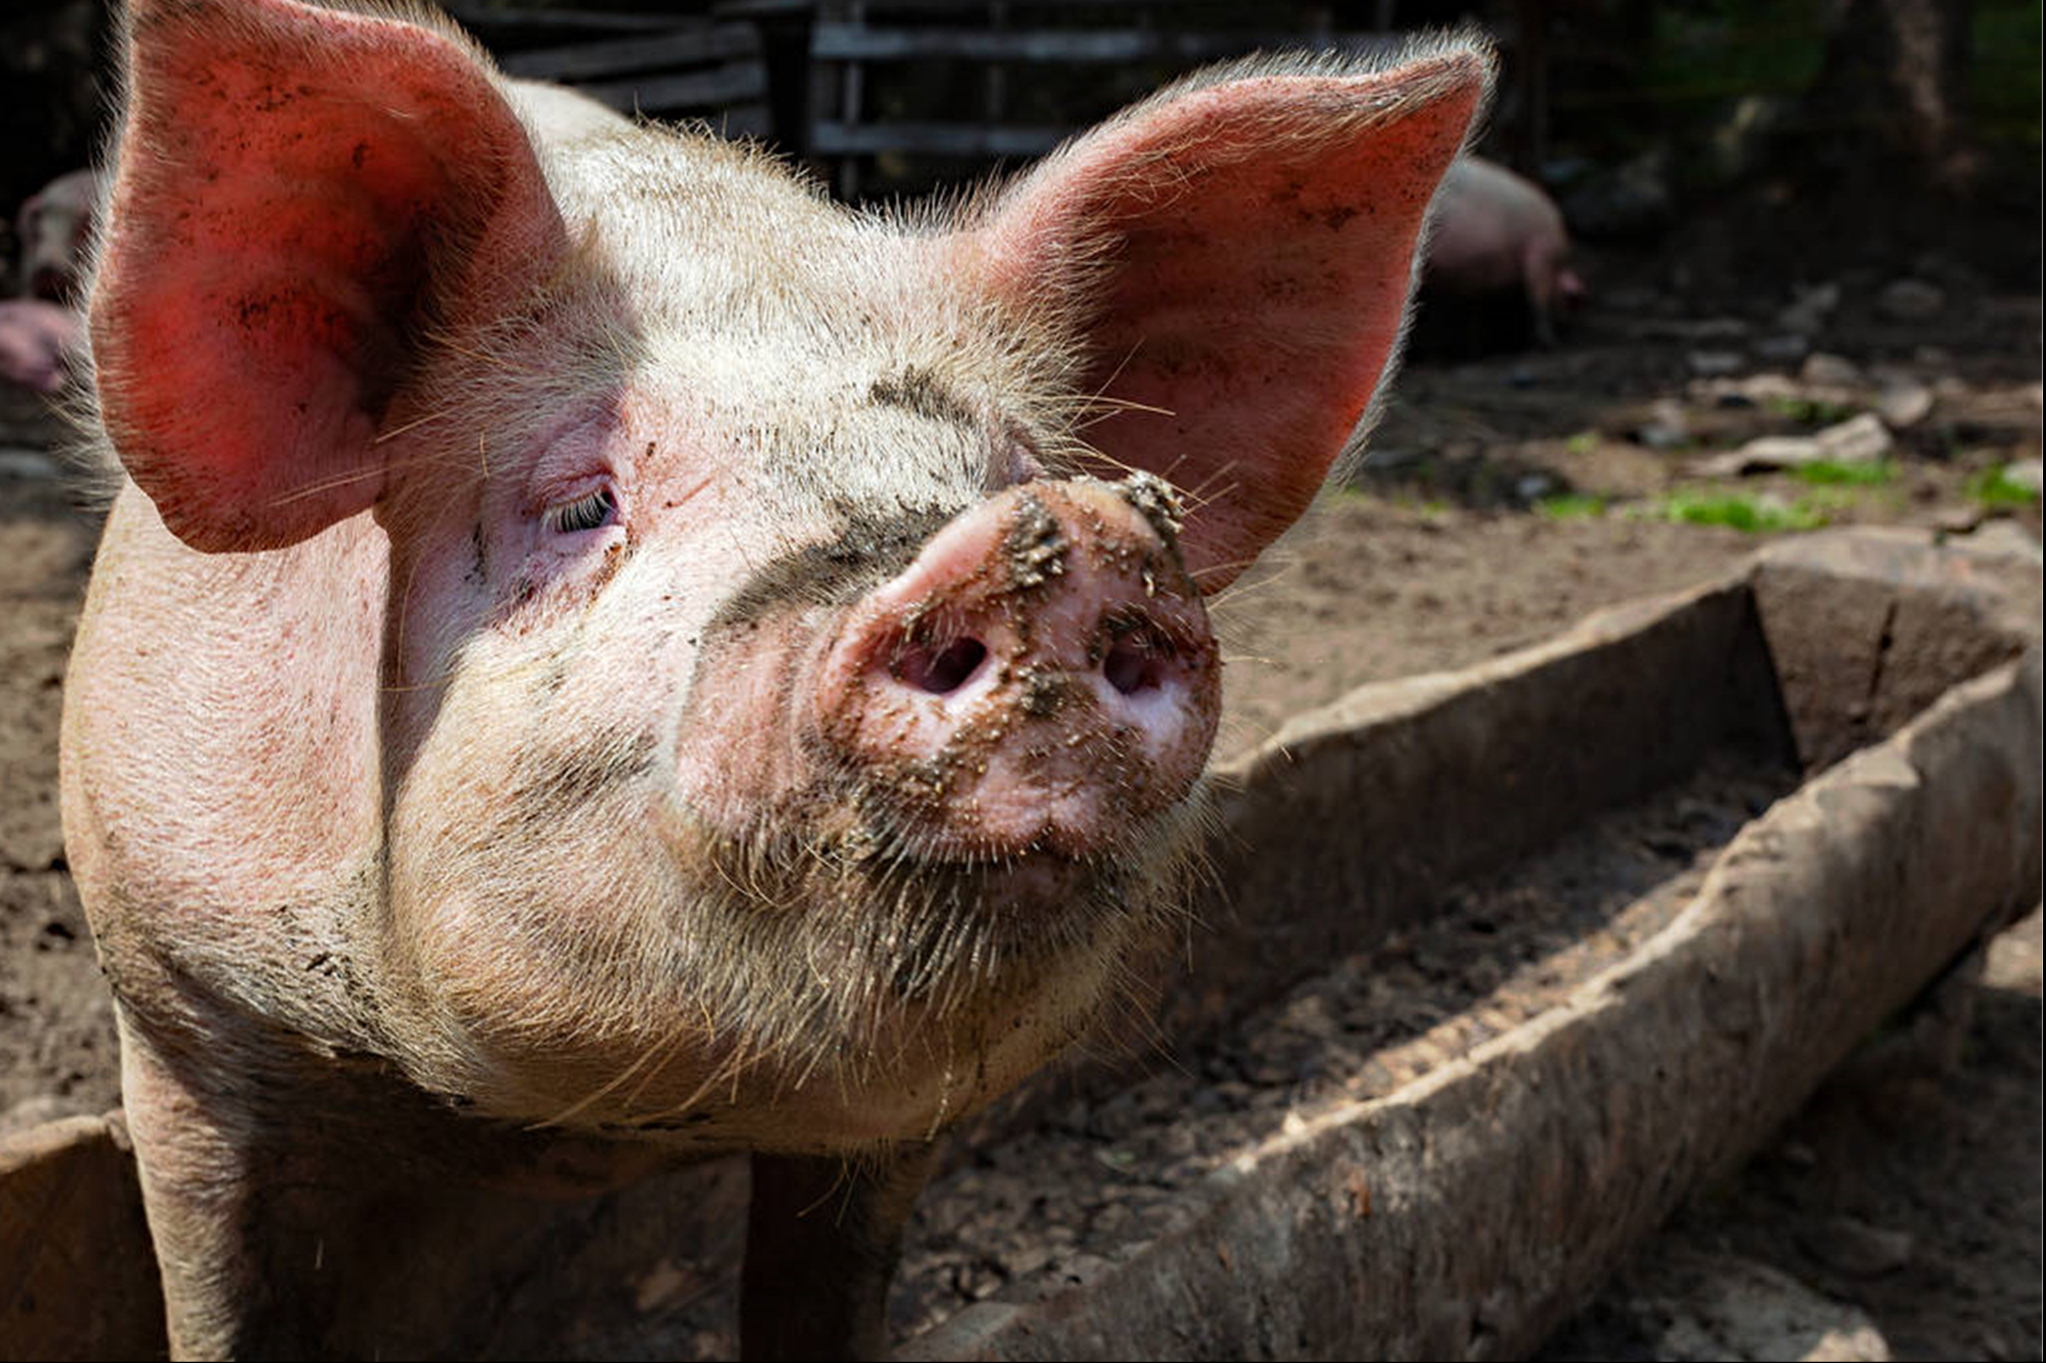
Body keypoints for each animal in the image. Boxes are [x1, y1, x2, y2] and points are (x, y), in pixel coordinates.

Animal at [59, 0, 1491, 1357]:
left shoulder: (889, 1129)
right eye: (580, 504)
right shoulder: (177, 1012)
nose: (1062, 545)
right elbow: (222, 1301)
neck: (564, 1119)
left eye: (1020, 472)